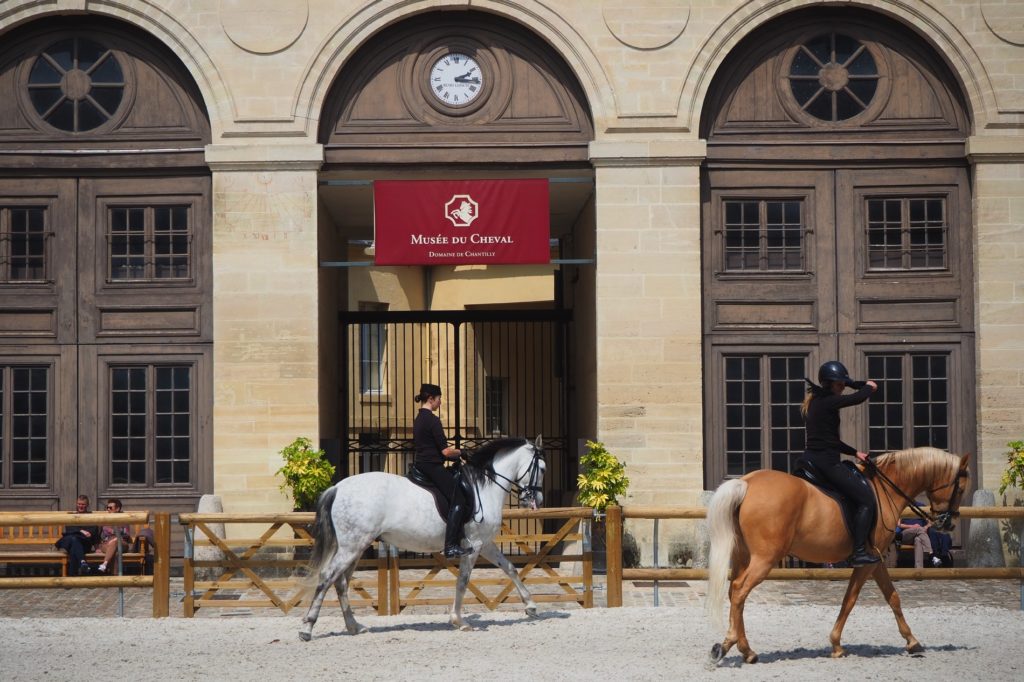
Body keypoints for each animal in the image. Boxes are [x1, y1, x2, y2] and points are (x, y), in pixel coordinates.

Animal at [299, 436, 544, 638]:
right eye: (541, 468)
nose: (537, 500)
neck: (484, 487)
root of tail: (338, 487)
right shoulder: (473, 545)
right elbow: (463, 581)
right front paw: (459, 621)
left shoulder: (484, 544)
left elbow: (509, 568)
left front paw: (531, 606)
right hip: (352, 546)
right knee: (327, 577)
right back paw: (307, 628)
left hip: (355, 547)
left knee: (340, 581)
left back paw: (354, 626)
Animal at [708, 446, 970, 659]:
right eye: (960, 489)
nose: (948, 524)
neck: (885, 489)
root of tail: (747, 483)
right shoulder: (868, 562)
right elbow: (850, 599)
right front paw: (836, 644)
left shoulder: (877, 560)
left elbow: (892, 597)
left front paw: (912, 641)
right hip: (764, 559)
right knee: (740, 590)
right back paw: (739, 647)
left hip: (743, 556)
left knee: (734, 592)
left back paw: (735, 646)